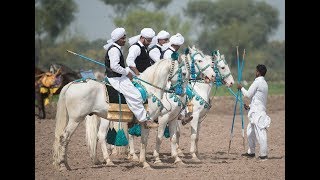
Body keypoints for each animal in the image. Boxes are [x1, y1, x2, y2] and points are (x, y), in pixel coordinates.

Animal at [53, 57, 185, 170]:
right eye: (183, 73)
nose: (182, 92)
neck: (149, 89)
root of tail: (71, 84)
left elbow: (167, 138)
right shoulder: (149, 122)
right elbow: (146, 141)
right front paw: (145, 163)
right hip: (76, 119)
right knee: (64, 137)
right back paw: (63, 165)